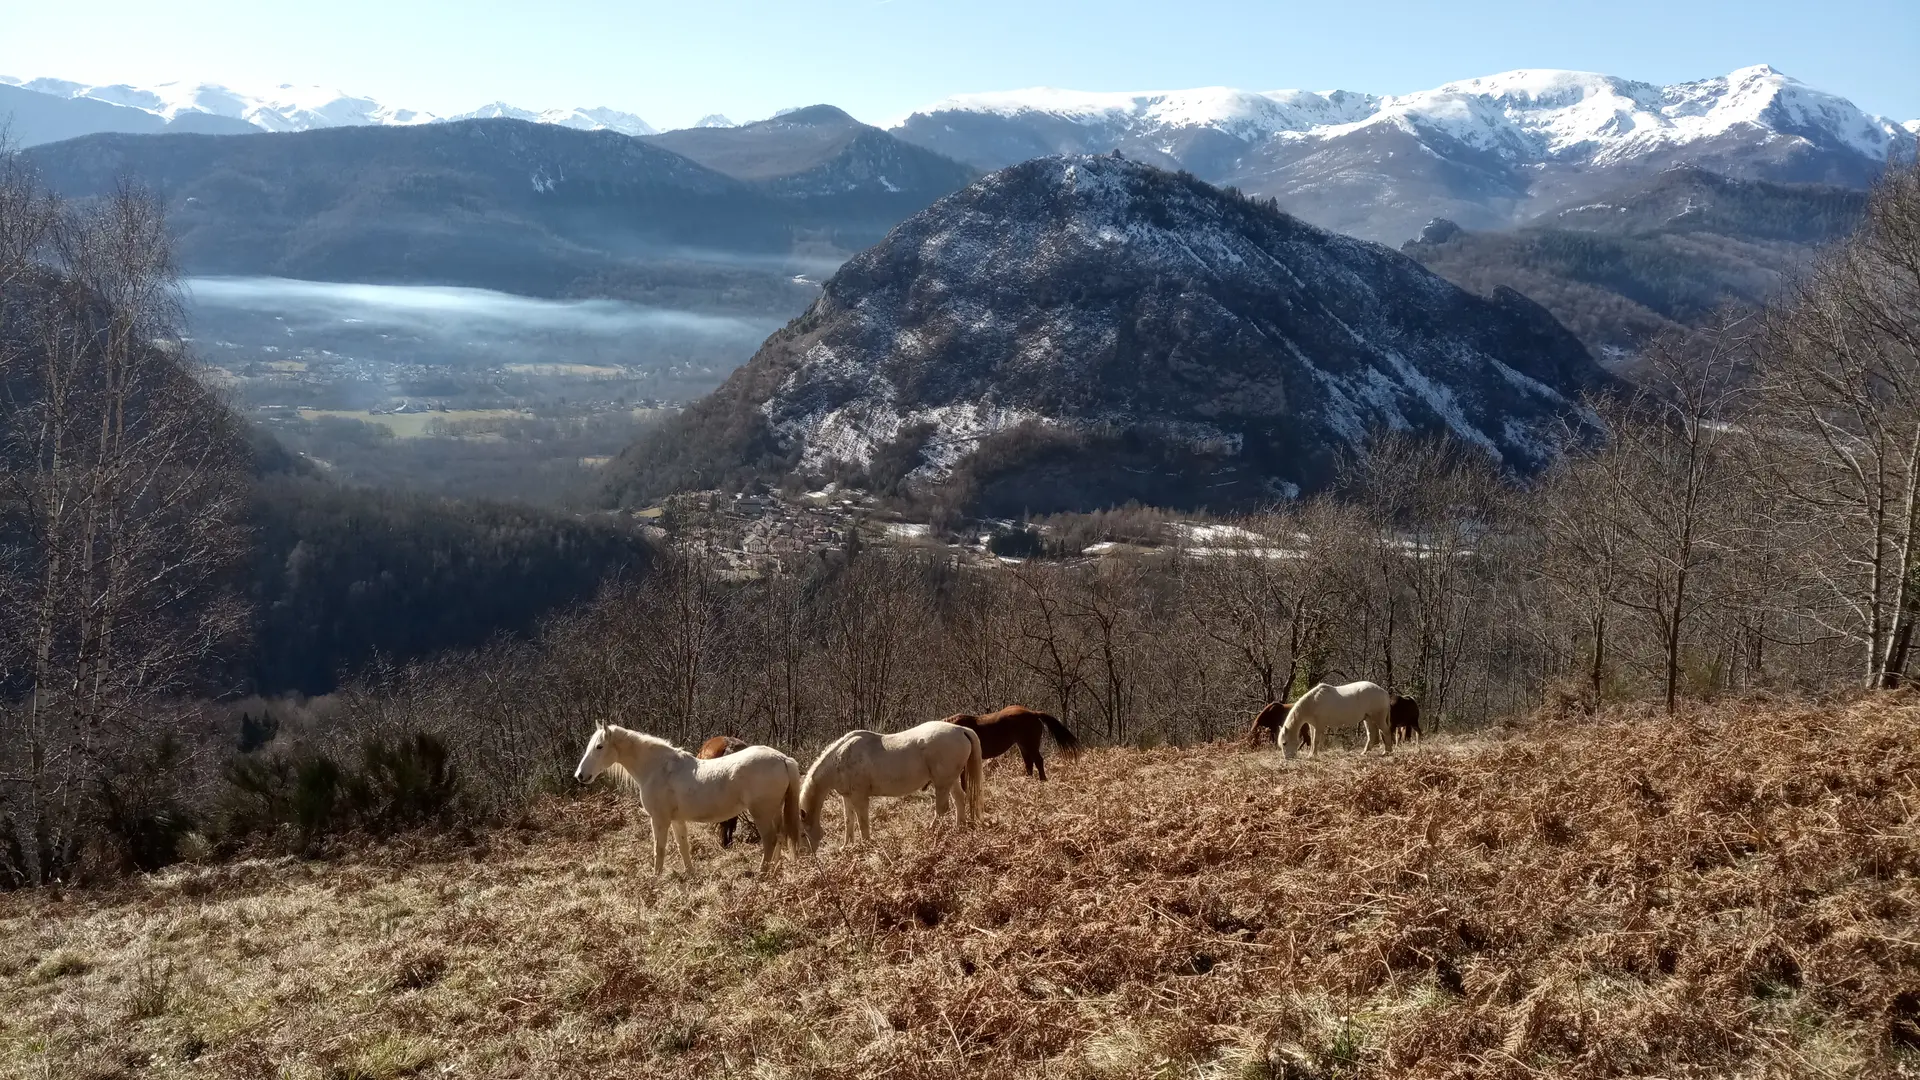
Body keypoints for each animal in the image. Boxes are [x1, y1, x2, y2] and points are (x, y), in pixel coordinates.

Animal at [576, 718, 802, 868]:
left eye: (599, 746)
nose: (580, 775)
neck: (658, 768)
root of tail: (782, 759)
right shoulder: (677, 819)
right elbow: (682, 846)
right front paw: (689, 874)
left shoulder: (659, 819)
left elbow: (659, 849)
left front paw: (656, 881)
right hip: (774, 810)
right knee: (780, 836)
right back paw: (774, 869)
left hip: (761, 813)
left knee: (770, 840)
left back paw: (762, 872)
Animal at [798, 714, 983, 849]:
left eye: (802, 834)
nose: (805, 854)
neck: (841, 757)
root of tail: (961, 729)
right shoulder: (847, 797)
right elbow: (848, 821)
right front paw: (846, 846)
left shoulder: (859, 797)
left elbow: (862, 821)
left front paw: (866, 844)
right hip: (951, 780)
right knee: (959, 799)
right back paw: (959, 827)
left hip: (942, 783)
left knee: (942, 808)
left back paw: (933, 830)